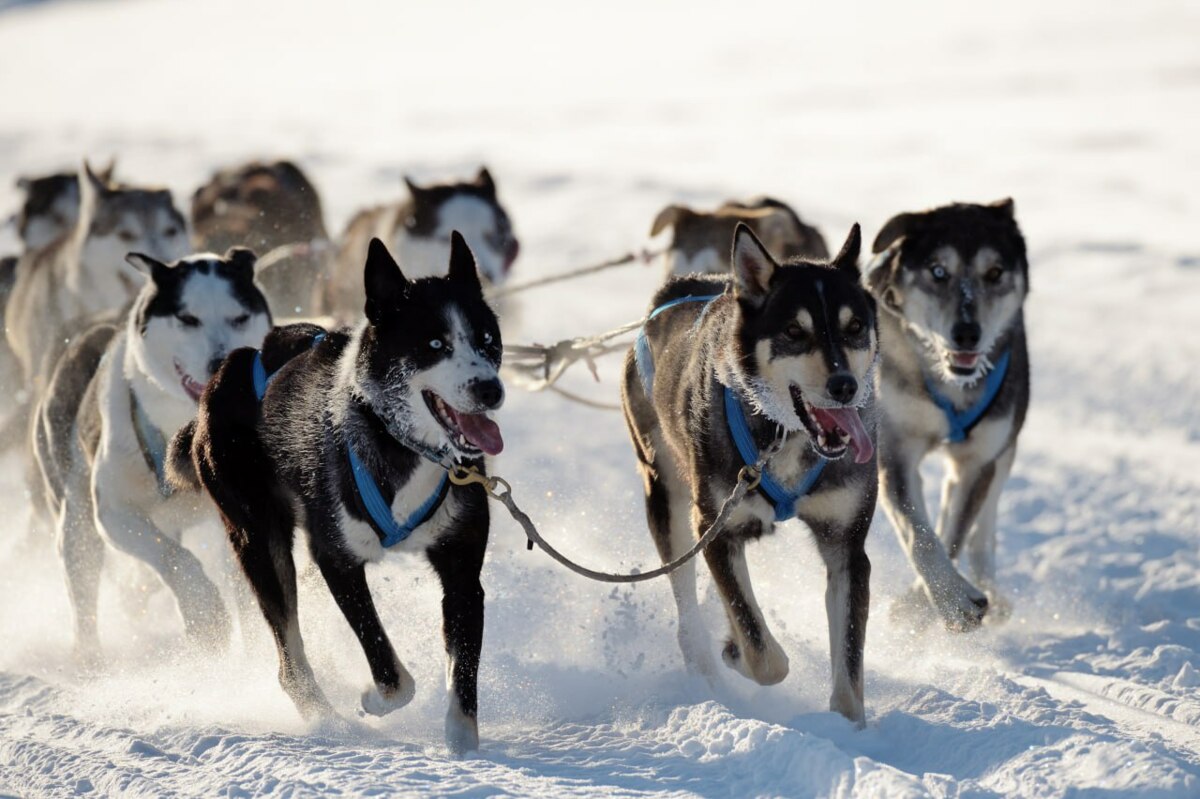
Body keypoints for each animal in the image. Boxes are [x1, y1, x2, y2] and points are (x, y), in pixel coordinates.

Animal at [864, 197, 1032, 628]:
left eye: (995, 272)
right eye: (938, 271)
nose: (967, 333)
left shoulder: (978, 462)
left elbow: (955, 534)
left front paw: (924, 606)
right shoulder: (894, 451)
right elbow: (920, 534)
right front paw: (952, 599)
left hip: (1003, 451)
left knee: (981, 529)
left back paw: (991, 590)